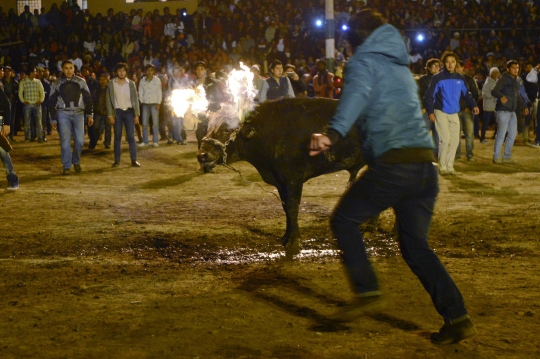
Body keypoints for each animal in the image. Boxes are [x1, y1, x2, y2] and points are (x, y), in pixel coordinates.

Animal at [196, 98, 364, 256]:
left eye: (227, 129)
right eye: (208, 128)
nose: (202, 155)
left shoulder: (293, 180)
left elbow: (292, 207)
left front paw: (294, 241)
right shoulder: (281, 182)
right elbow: (286, 209)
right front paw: (286, 237)